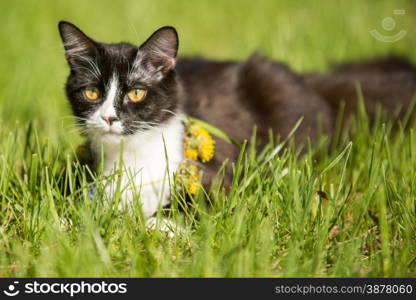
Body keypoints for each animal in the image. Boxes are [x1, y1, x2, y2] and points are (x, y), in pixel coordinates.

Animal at [58, 20, 416, 218]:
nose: (108, 118)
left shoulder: (210, 178)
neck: (131, 156)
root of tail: (311, 80)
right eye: (91, 92)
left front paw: (153, 222)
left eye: (135, 93)